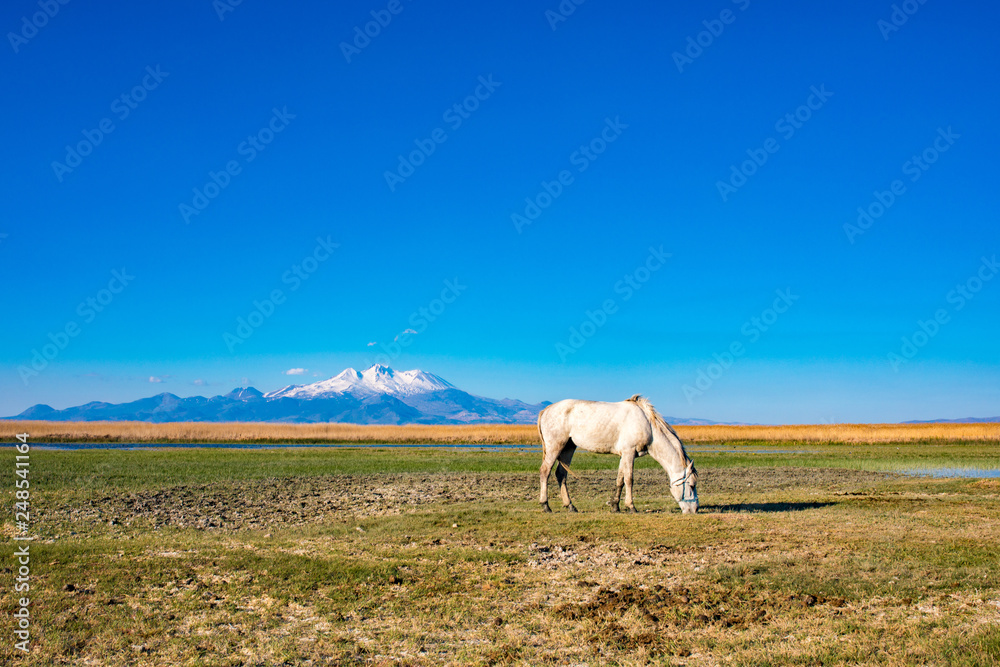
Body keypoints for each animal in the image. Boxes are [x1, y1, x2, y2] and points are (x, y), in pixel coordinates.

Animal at [538, 395, 698, 514]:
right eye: (691, 485)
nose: (695, 509)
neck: (648, 425)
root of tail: (546, 409)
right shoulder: (629, 452)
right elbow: (629, 479)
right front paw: (631, 506)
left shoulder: (624, 455)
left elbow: (620, 480)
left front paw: (615, 506)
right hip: (555, 447)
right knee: (545, 472)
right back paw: (546, 505)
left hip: (568, 448)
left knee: (561, 475)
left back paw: (570, 506)